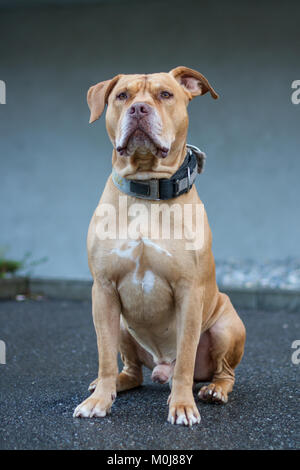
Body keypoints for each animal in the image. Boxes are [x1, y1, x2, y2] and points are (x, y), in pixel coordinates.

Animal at [73, 65, 246, 426]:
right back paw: (113, 385)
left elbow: (186, 359)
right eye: (122, 95)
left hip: (227, 324)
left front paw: (181, 406)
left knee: (222, 372)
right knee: (132, 370)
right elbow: (105, 355)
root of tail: (160, 366)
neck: (147, 189)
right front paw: (99, 401)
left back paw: (214, 390)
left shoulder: (189, 292)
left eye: (165, 94)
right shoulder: (104, 291)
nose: (139, 109)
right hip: (122, 324)